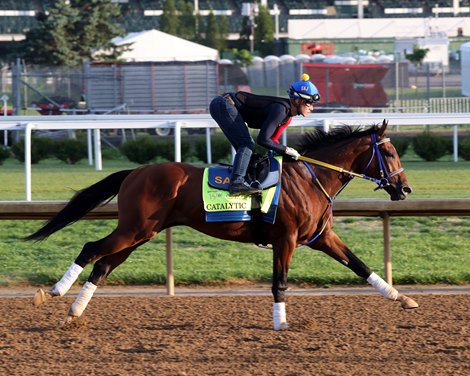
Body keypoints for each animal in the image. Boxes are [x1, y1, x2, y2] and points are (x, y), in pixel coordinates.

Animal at [30, 119, 418, 328]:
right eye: (388, 152)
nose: (404, 188)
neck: (310, 178)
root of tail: (135, 172)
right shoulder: (286, 239)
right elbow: (280, 283)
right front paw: (281, 323)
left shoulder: (322, 237)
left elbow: (360, 265)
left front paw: (401, 297)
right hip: (134, 229)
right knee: (91, 249)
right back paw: (54, 292)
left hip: (141, 233)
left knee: (104, 265)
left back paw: (74, 312)